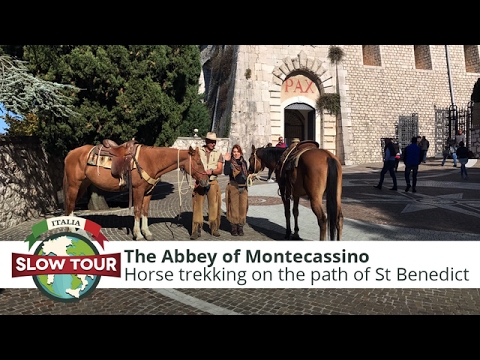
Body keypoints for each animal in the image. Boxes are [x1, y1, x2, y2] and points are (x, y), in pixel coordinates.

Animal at [62, 143, 209, 239]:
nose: (206, 181)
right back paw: (71, 229)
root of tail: (70, 153)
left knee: (71, 205)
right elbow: (137, 210)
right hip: (74, 186)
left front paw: (146, 232)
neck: (151, 160)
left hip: (82, 185)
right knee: (70, 205)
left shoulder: (148, 192)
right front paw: (138, 234)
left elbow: (145, 211)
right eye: (198, 162)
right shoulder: (138, 190)